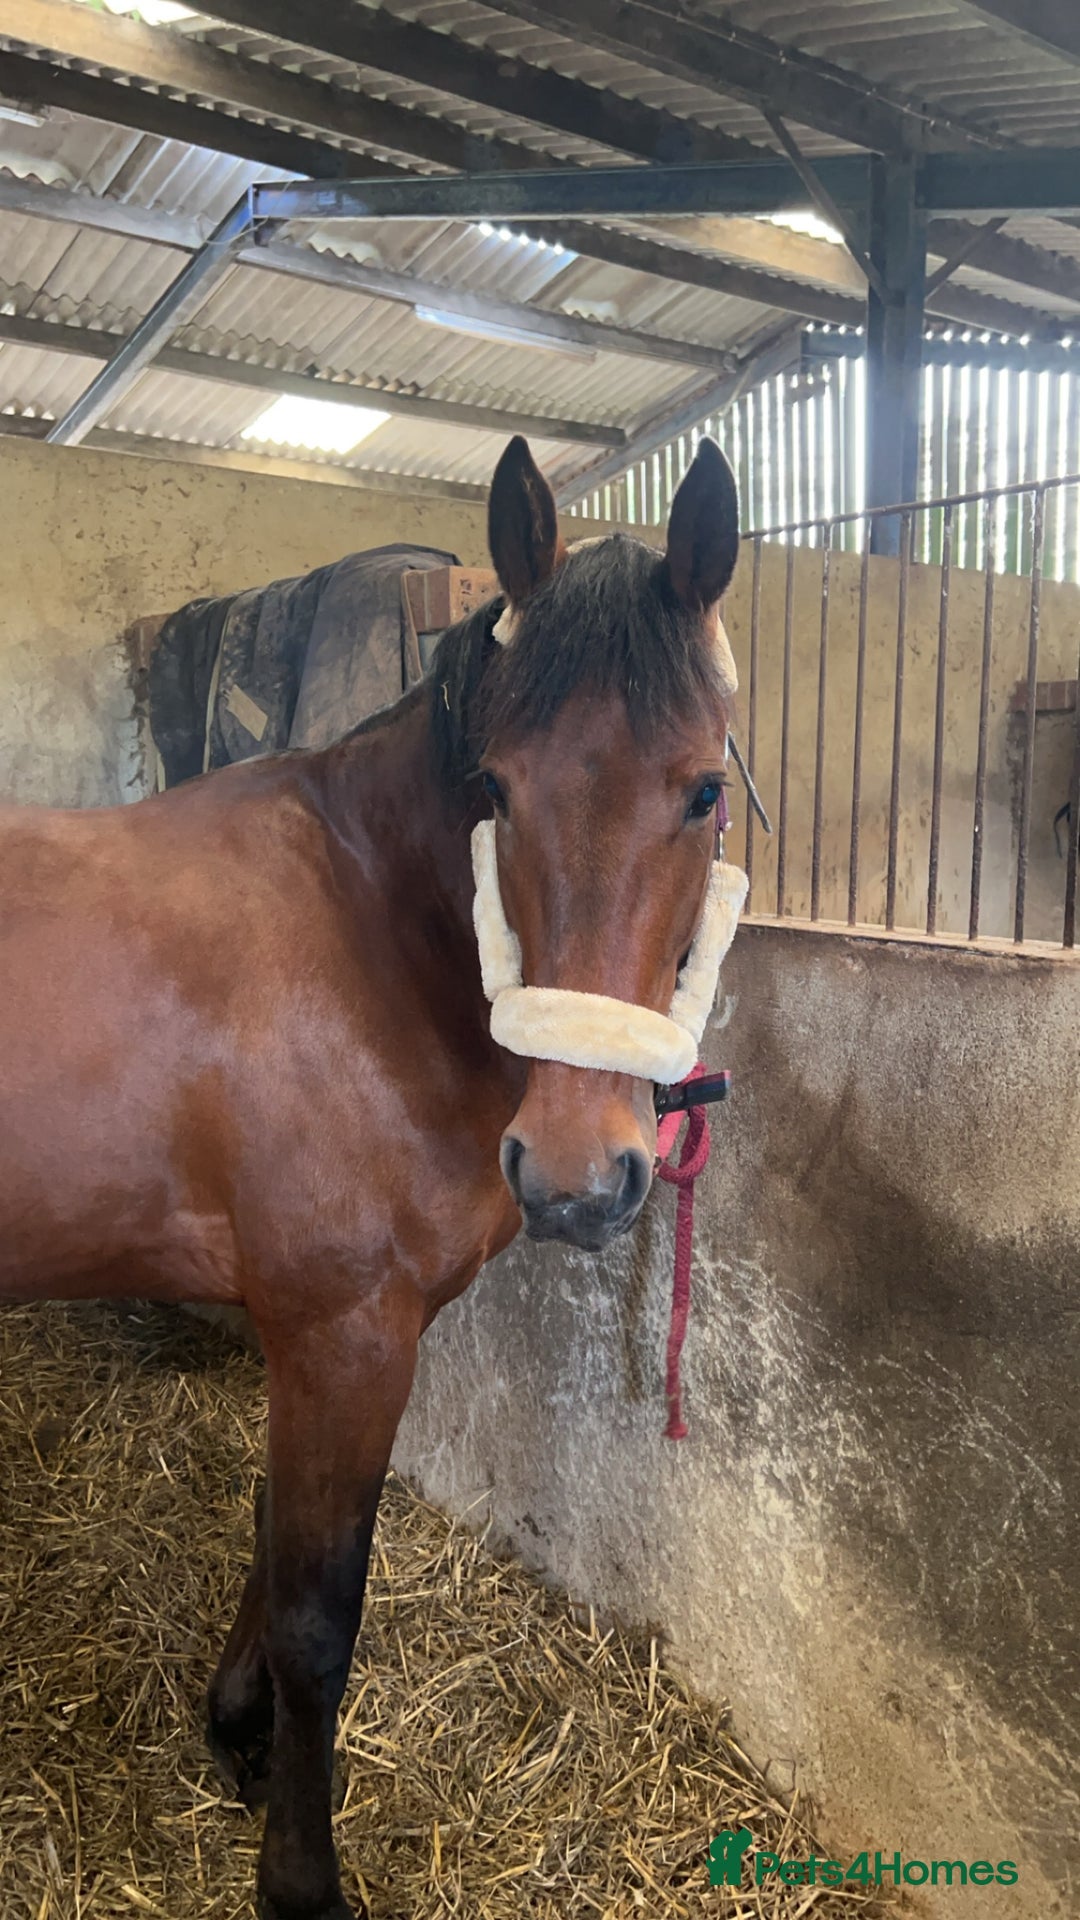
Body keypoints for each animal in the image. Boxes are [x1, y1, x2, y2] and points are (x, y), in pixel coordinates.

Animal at [0, 431, 742, 1920]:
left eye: (704, 789)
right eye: (497, 787)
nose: (575, 1177)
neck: (366, 939)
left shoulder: (315, 1337)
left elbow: (274, 1536)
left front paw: (232, 1730)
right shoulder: (344, 1331)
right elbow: (315, 1621)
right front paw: (301, 1875)